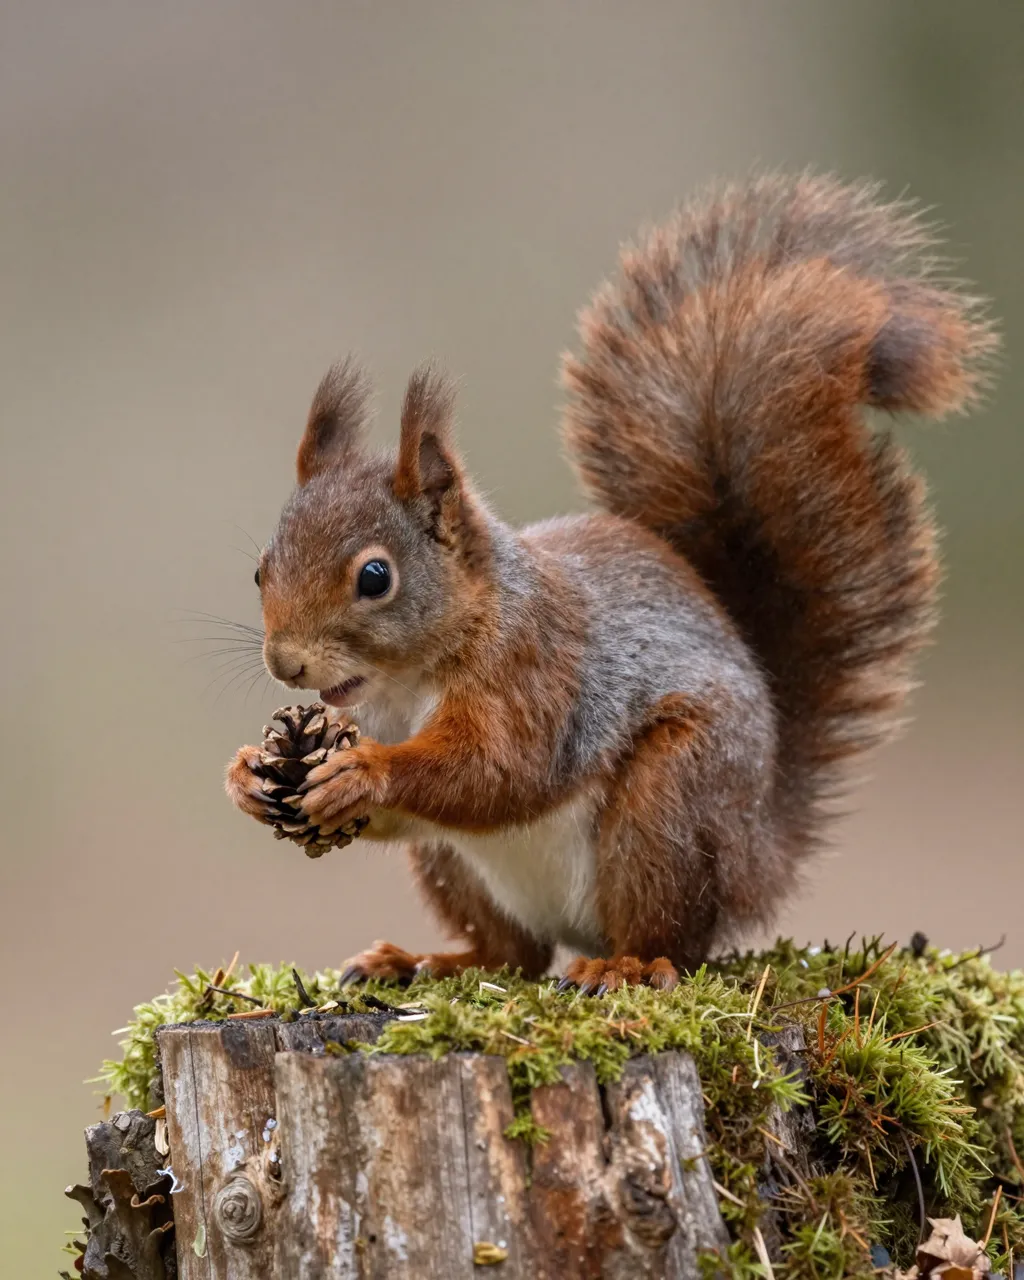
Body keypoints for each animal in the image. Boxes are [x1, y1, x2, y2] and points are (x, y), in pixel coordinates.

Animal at [226, 173, 995, 993]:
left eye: (376, 577)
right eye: (260, 569)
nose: (286, 664)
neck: (409, 679)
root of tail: (760, 851)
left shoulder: (538, 674)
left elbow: (499, 771)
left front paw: (363, 769)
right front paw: (250, 774)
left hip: (670, 804)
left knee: (673, 943)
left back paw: (624, 965)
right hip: (451, 864)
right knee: (514, 953)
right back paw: (424, 961)